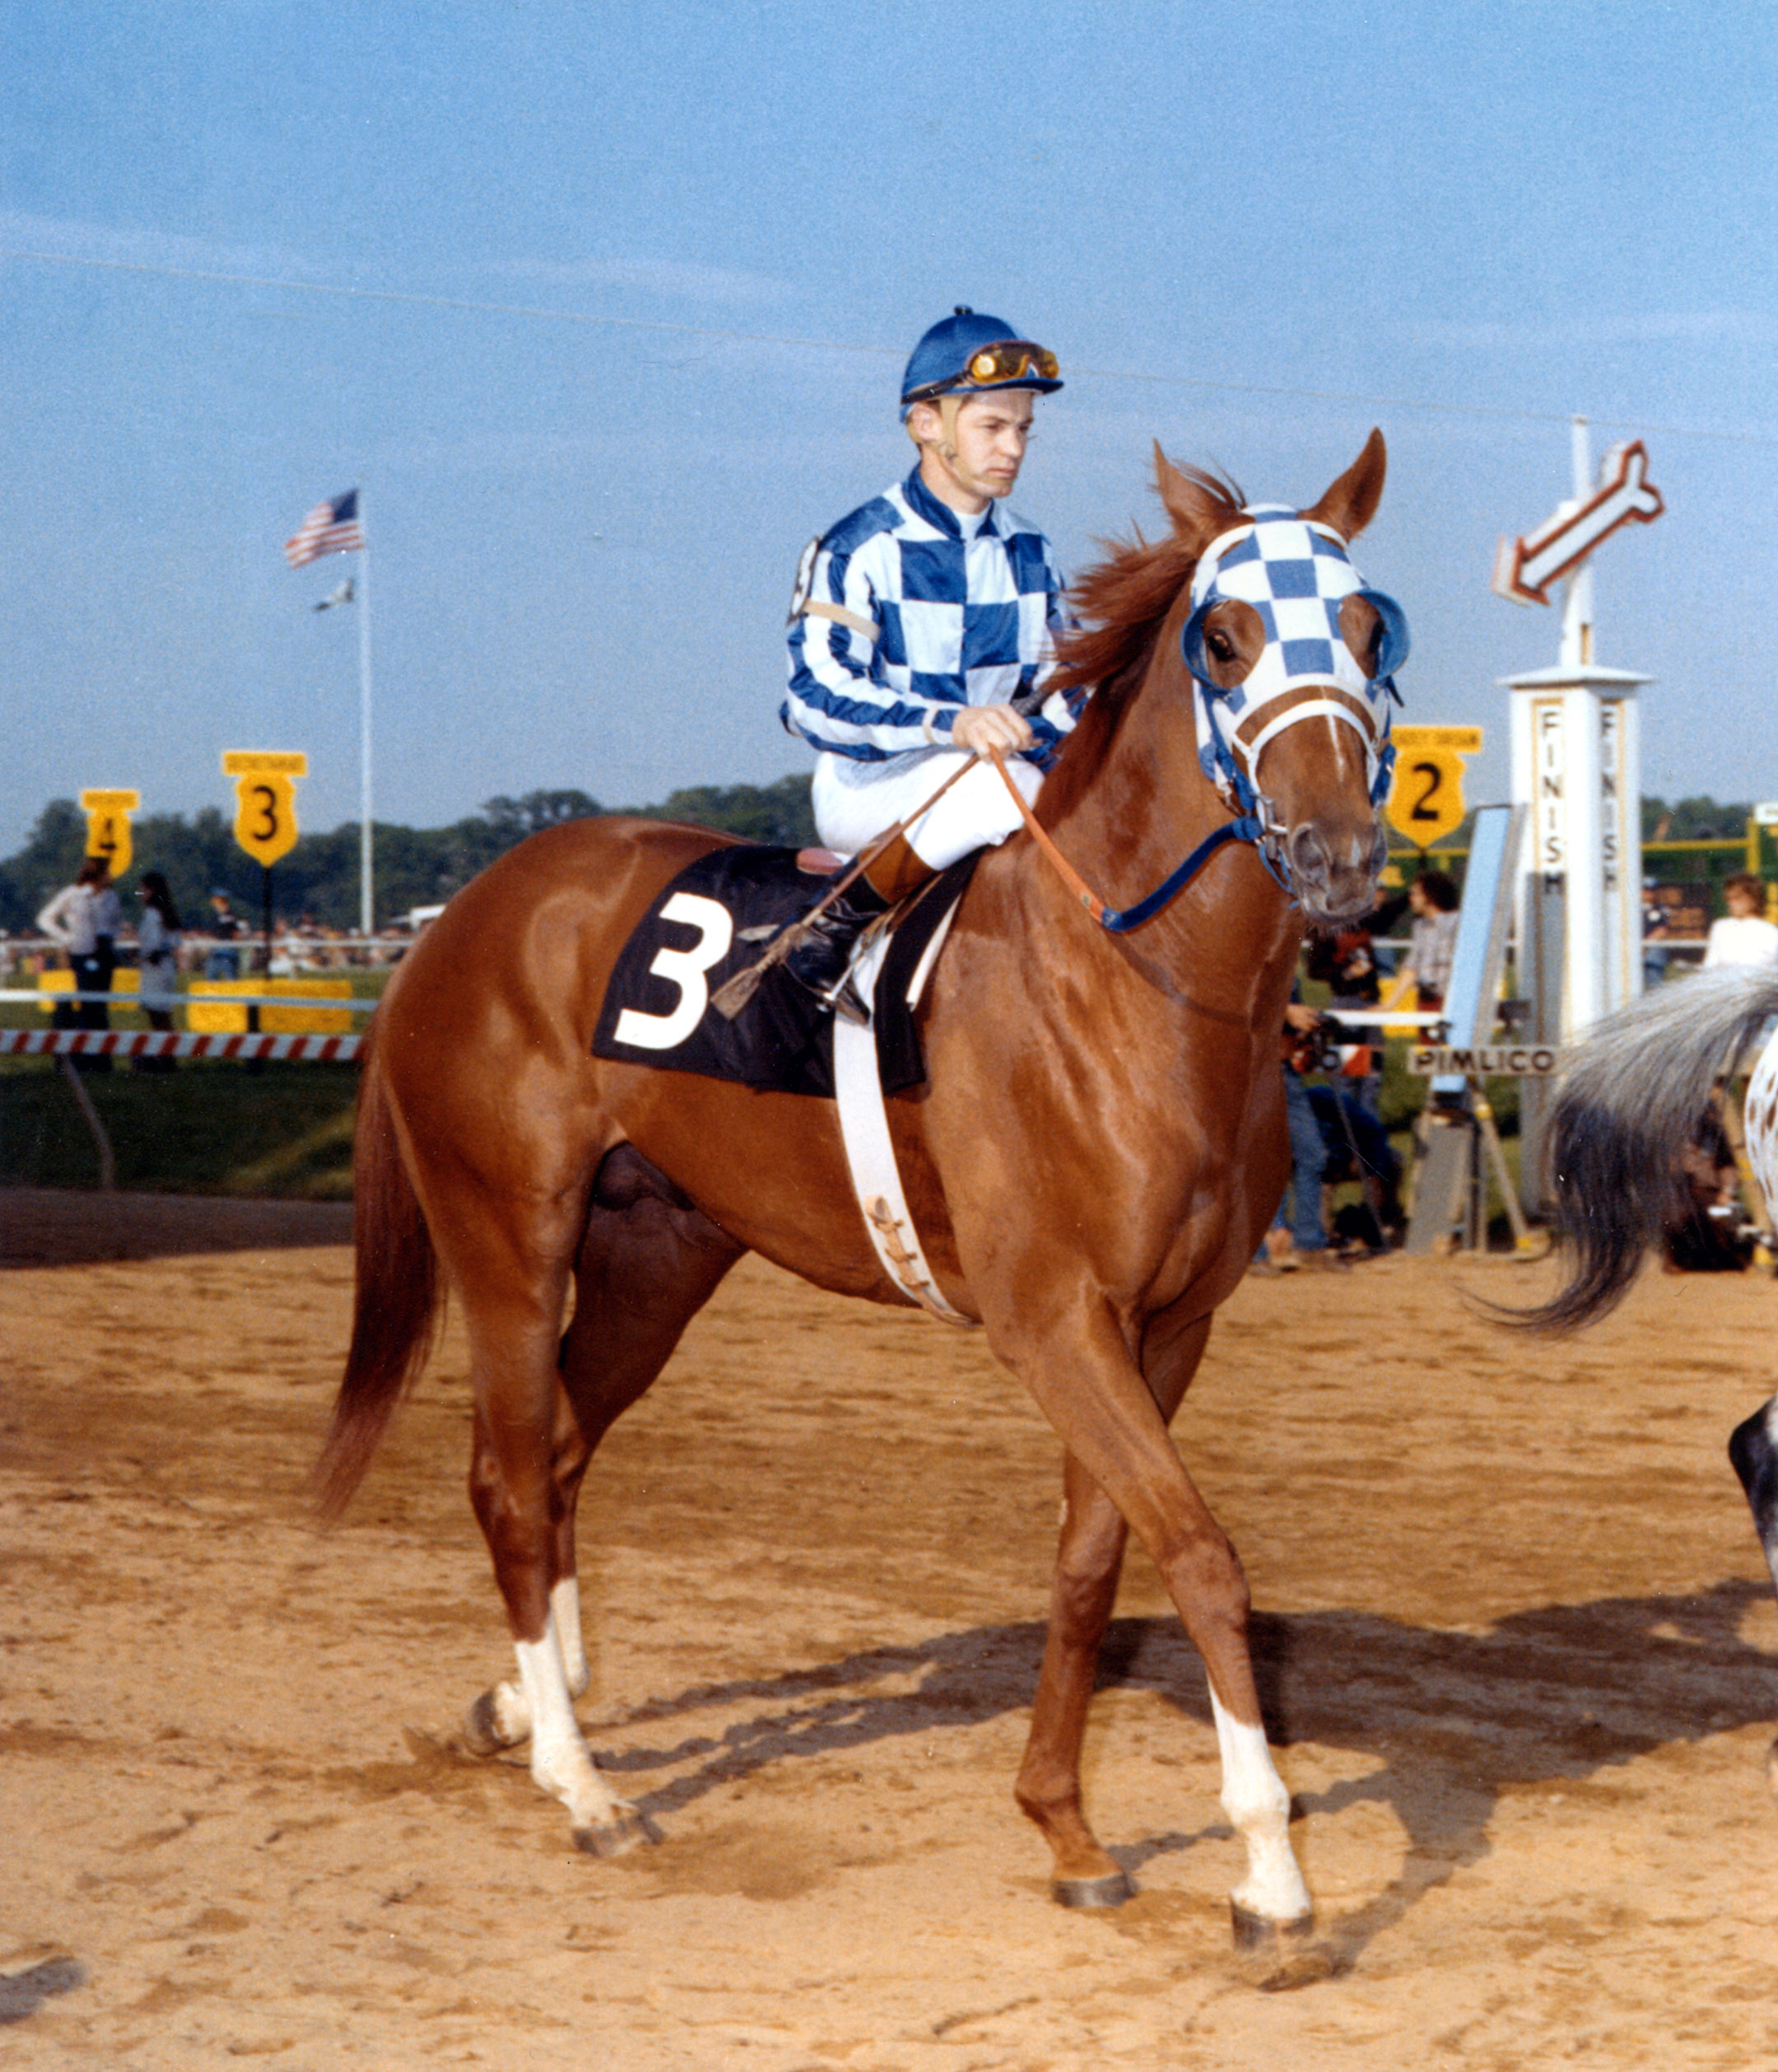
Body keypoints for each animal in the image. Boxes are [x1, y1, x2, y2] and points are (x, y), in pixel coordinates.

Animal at [319, 429, 1400, 1947]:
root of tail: (454, 921)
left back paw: (525, 1708)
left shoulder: (1167, 1323)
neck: (1139, 980)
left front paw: (1065, 1826)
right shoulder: (1052, 1319)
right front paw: (1271, 1872)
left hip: (657, 1253)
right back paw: (583, 1788)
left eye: (1368, 630)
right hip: (508, 1234)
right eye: (1226, 637)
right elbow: (1199, 1553)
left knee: (564, 1453)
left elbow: (1094, 1561)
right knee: (513, 1477)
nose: (1339, 855)